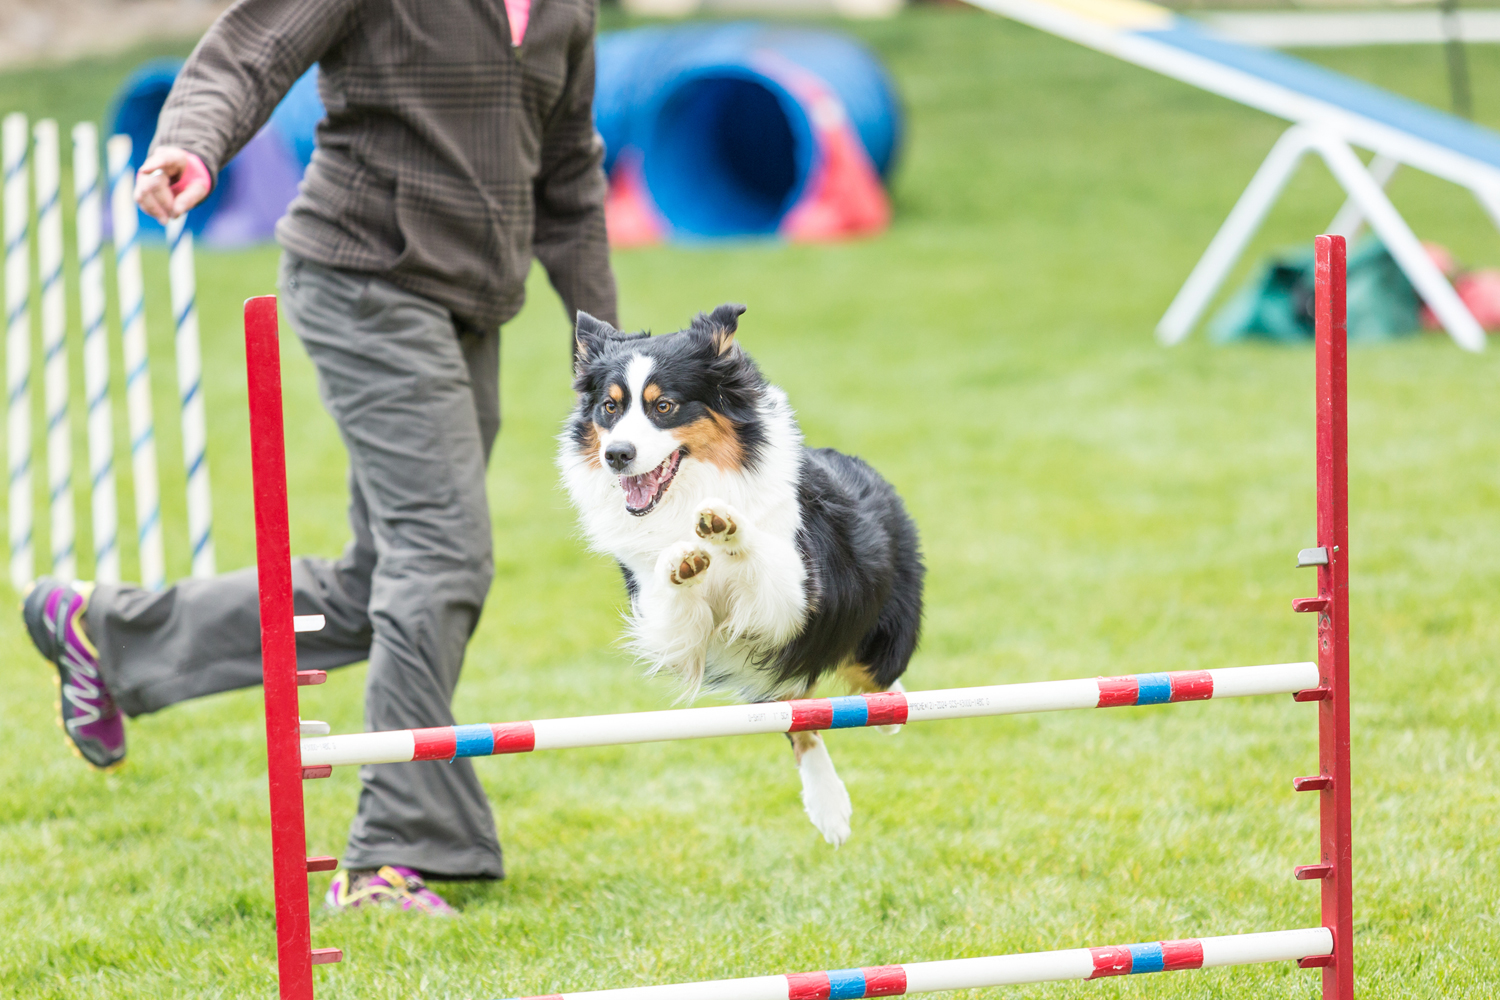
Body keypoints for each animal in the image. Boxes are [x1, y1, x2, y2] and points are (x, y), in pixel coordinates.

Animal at [558, 302, 918, 845]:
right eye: (609, 407)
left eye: (664, 407)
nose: (616, 455)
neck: (688, 491)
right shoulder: (665, 623)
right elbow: (673, 597)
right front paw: (682, 560)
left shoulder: (798, 598)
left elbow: (761, 557)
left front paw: (725, 526)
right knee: (800, 717)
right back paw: (829, 809)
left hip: (873, 632)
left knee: (872, 680)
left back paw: (887, 718)